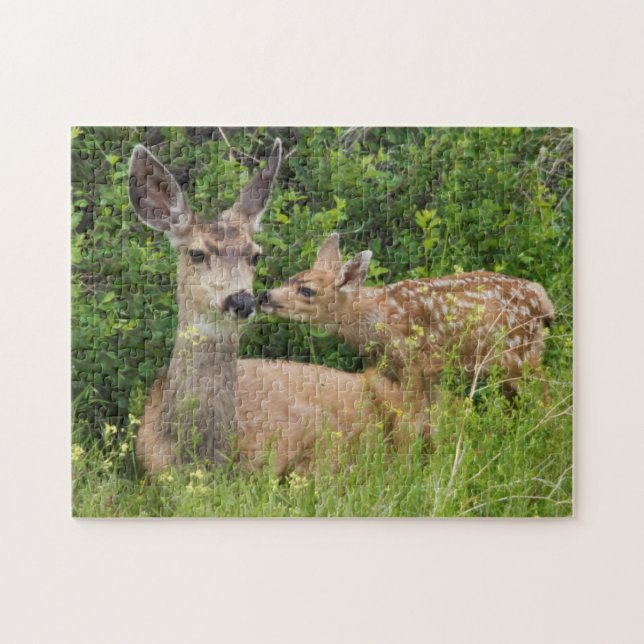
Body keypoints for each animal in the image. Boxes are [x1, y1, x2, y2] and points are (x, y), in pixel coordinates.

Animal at [260, 233, 555, 436]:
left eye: (307, 290)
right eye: (290, 278)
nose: (265, 296)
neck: (375, 320)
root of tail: (543, 299)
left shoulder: (413, 364)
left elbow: (412, 422)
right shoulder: (415, 372)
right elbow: (430, 422)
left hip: (518, 355)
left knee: (546, 398)